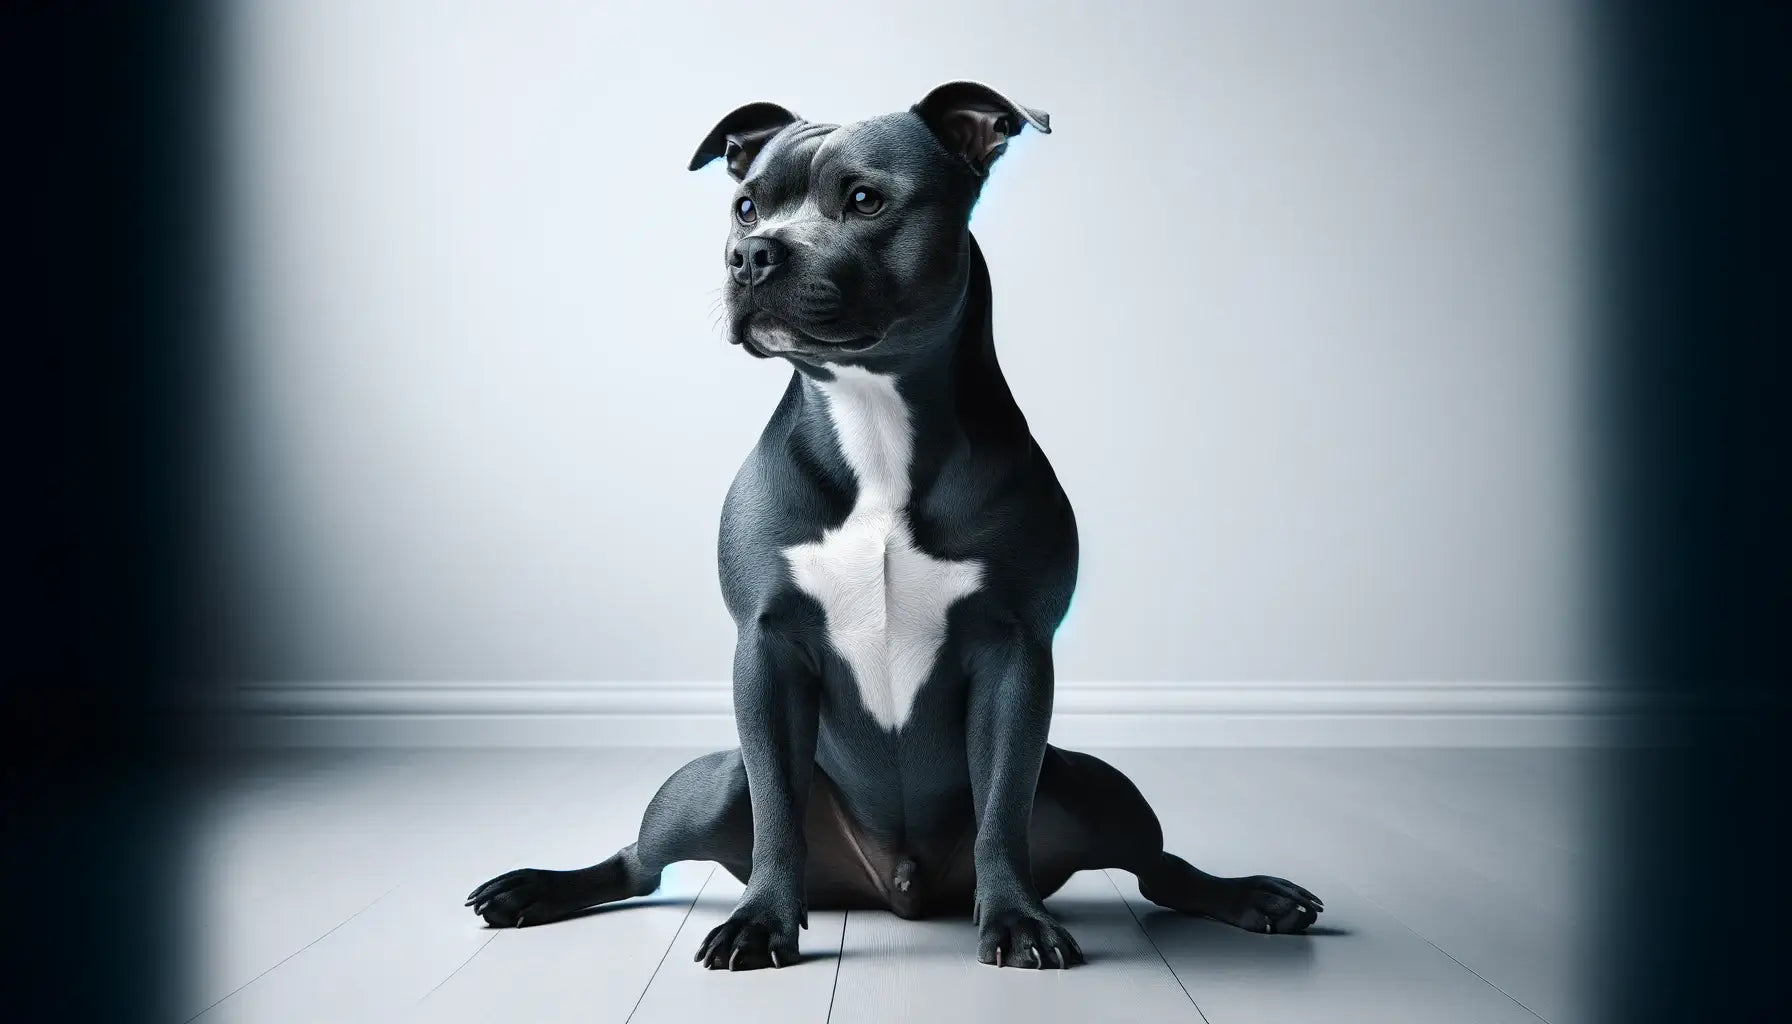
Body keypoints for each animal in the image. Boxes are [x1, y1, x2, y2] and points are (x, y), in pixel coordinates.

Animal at [469, 78, 1326, 968]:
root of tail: (893, 887)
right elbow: (776, 812)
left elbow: (1002, 810)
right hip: (707, 788)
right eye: (746, 206)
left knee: (1155, 864)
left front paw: (1016, 919)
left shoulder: (1016, 652)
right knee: (642, 861)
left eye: (865, 200)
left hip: (1097, 787)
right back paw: (537, 888)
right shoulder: (766, 650)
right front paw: (760, 920)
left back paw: (1250, 896)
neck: (872, 419)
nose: (752, 254)